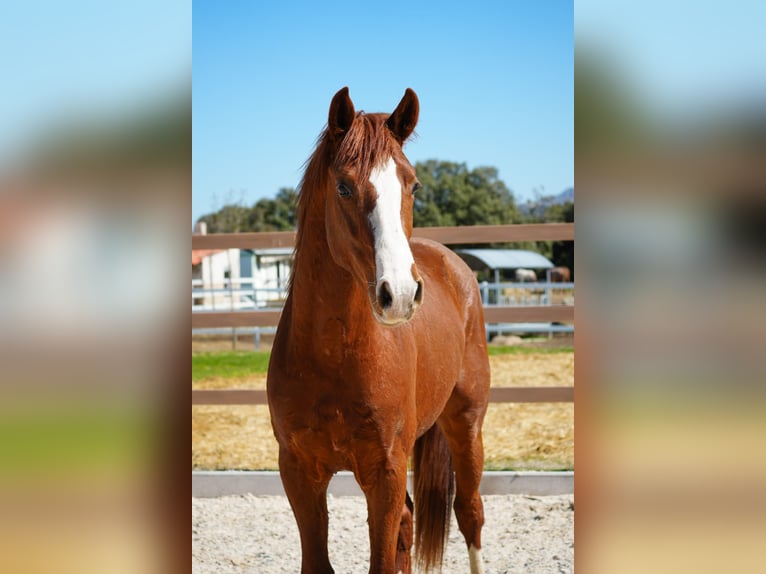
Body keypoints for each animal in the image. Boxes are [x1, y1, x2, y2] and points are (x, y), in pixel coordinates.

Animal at [267, 87, 491, 574]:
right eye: (344, 186)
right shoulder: (298, 472)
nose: (401, 293)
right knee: (411, 520)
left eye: (413, 185)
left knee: (470, 511)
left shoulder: (384, 471)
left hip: (466, 424)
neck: (334, 355)